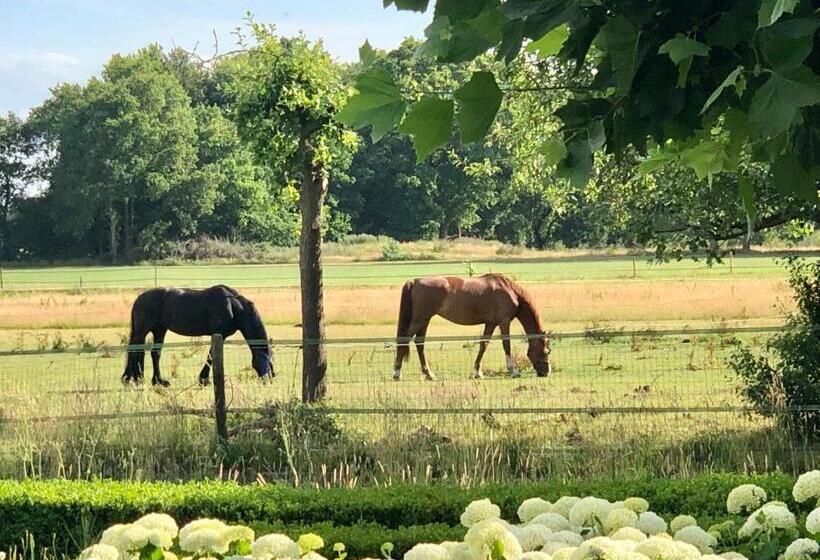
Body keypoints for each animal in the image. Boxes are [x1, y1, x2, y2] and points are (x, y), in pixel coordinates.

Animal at [121, 284, 274, 384]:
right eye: (268, 359)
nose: (270, 378)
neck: (233, 305)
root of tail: (138, 299)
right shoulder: (219, 334)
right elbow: (210, 357)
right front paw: (203, 379)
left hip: (159, 330)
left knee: (154, 353)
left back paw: (157, 381)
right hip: (142, 331)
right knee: (134, 352)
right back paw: (133, 379)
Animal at [392, 274, 552, 380]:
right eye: (545, 351)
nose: (546, 372)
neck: (508, 289)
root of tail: (415, 281)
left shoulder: (490, 323)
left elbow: (483, 345)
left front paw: (477, 372)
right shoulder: (504, 321)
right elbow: (506, 345)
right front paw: (513, 371)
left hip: (424, 320)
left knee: (419, 343)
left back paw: (428, 374)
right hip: (420, 319)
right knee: (405, 340)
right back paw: (397, 373)